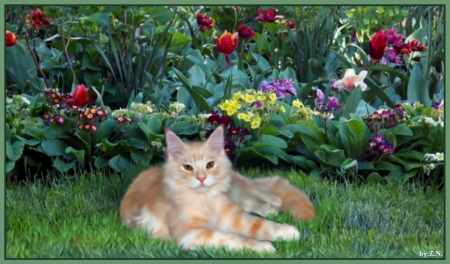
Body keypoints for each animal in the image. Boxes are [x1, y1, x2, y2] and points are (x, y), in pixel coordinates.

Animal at [121, 126, 314, 254]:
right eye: (188, 168)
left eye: (210, 165)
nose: (201, 178)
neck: (206, 200)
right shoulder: (192, 234)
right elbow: (232, 238)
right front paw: (263, 246)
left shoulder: (232, 216)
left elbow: (260, 225)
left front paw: (286, 231)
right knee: (248, 199)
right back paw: (270, 208)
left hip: (233, 187)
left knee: (254, 190)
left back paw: (273, 202)